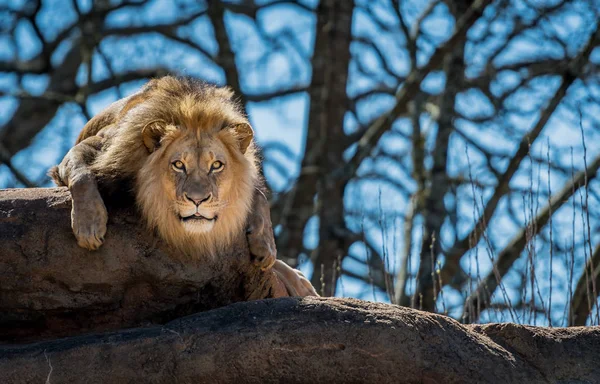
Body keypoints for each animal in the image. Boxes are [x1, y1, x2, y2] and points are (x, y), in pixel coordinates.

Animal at [49, 75, 316, 296]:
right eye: (178, 165)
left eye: (216, 165)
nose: (198, 200)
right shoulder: (95, 149)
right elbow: (81, 173)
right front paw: (89, 225)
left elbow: (258, 193)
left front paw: (265, 244)